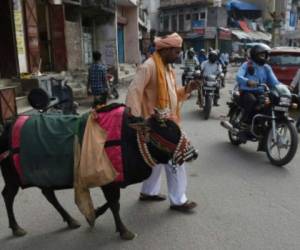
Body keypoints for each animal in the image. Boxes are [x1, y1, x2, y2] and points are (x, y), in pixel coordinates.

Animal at [0, 103, 198, 240]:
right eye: (168, 129)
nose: (193, 153)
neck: (130, 139)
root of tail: (7, 126)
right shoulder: (109, 181)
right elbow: (114, 204)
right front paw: (124, 231)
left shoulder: (111, 182)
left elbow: (110, 203)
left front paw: (93, 214)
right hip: (11, 178)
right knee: (7, 196)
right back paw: (16, 227)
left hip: (42, 177)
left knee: (48, 194)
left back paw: (71, 220)